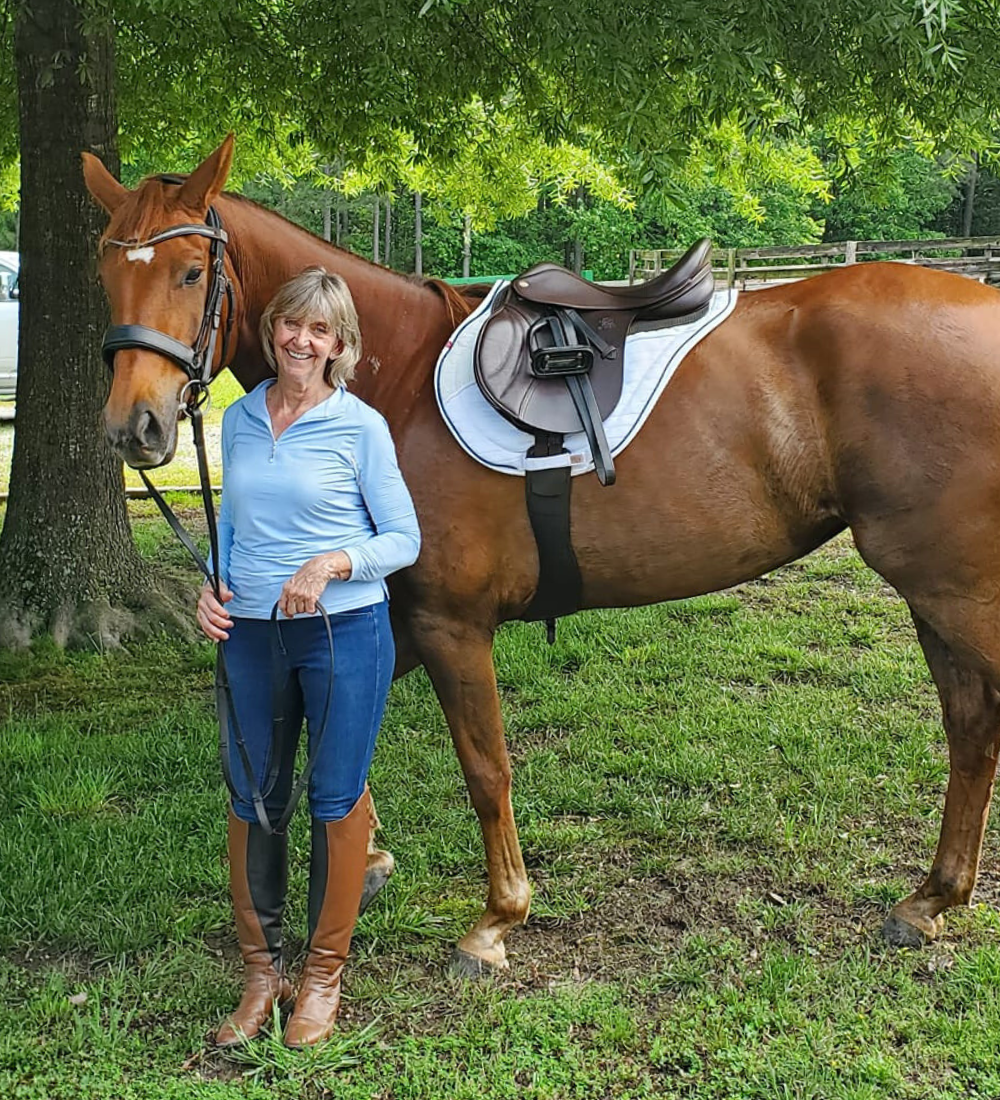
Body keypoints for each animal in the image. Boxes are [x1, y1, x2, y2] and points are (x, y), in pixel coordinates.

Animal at [82, 135, 1000, 974]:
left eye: (190, 273)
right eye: (105, 275)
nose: (136, 428)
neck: (396, 376)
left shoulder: (452, 625)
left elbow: (485, 770)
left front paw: (497, 921)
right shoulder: (400, 617)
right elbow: (346, 733)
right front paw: (369, 856)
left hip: (954, 592)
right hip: (935, 594)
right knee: (970, 728)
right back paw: (929, 900)